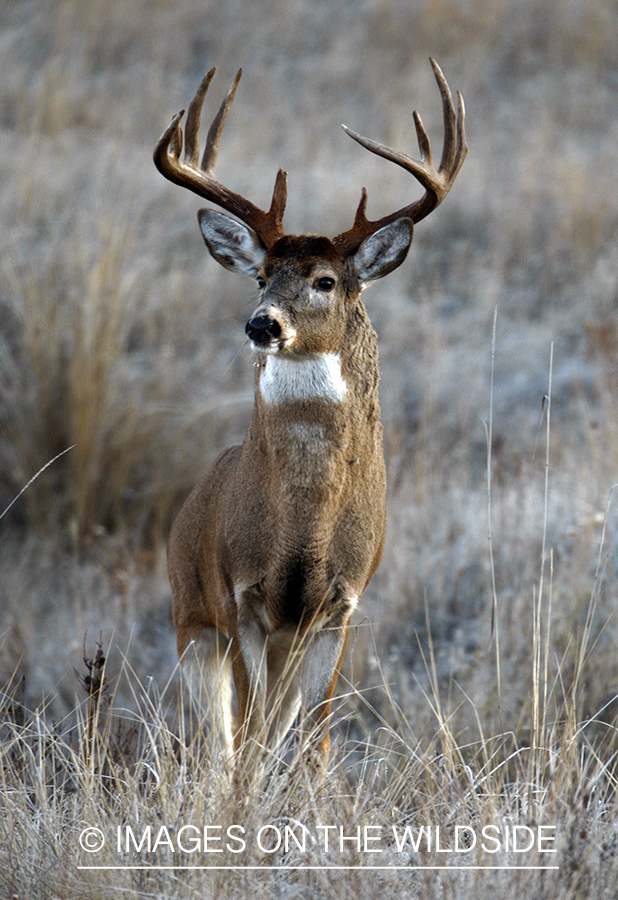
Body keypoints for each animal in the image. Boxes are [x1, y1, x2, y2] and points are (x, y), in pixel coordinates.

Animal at [155, 58, 466, 772]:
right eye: (260, 276)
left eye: (325, 280)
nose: (262, 324)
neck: (302, 531)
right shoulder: (239, 598)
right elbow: (243, 745)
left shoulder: (339, 609)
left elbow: (316, 743)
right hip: (191, 619)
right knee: (220, 740)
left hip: (283, 648)